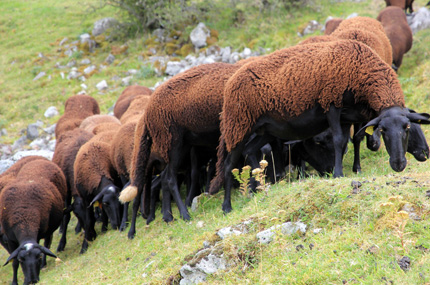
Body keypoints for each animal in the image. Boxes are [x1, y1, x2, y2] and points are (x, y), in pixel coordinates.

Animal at [210, 40, 430, 213]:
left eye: (408, 128)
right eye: (383, 131)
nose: (399, 164)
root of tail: (230, 84)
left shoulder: (348, 116)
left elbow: (350, 141)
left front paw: (353, 169)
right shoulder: (331, 104)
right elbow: (339, 140)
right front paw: (338, 174)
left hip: (266, 129)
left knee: (249, 150)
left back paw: (260, 186)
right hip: (238, 127)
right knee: (229, 164)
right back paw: (227, 206)